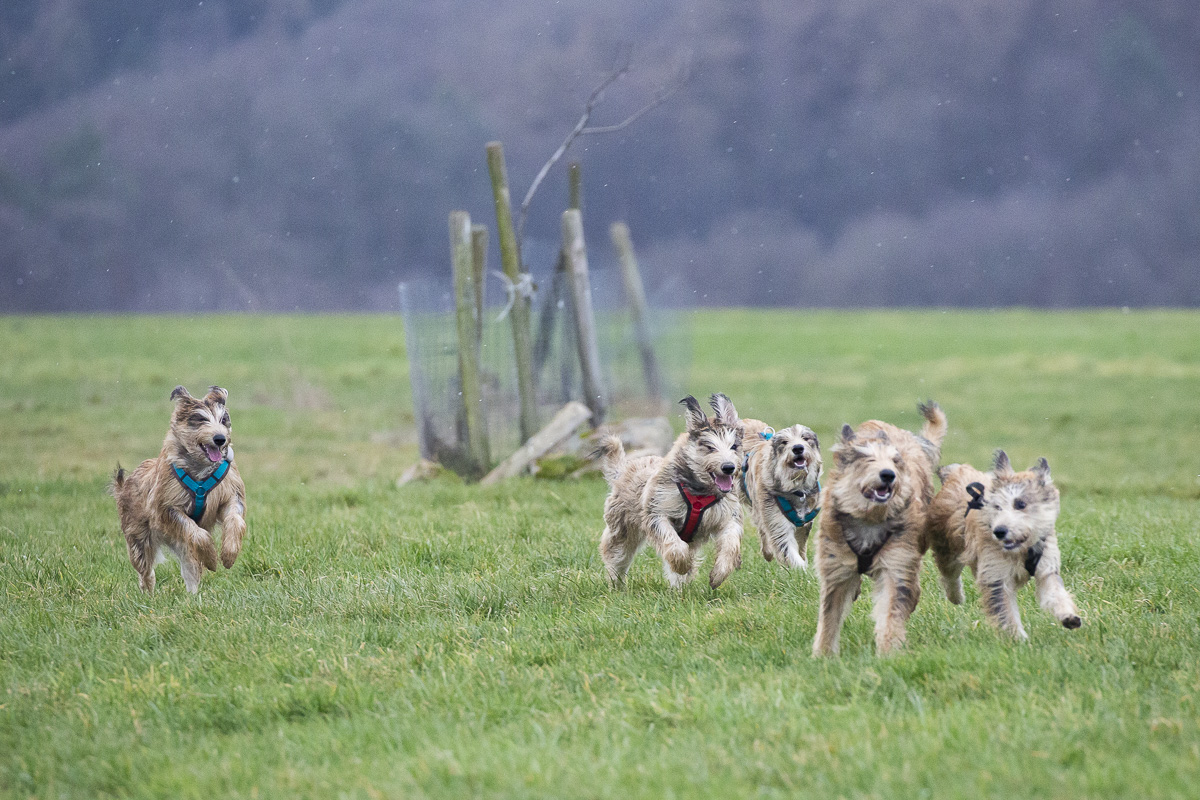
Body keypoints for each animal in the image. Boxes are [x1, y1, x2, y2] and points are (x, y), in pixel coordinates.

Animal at [110, 383, 246, 592]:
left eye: (223, 419)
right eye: (200, 419)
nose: (220, 438)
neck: (200, 470)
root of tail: (123, 485)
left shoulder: (230, 493)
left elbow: (234, 519)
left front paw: (229, 555)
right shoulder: (167, 506)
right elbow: (196, 532)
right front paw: (212, 558)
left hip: (179, 543)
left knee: (190, 566)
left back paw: (193, 595)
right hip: (137, 535)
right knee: (145, 568)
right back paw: (148, 593)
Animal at [595, 393, 744, 587]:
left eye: (734, 446)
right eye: (710, 447)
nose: (728, 467)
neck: (699, 492)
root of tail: (624, 470)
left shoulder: (727, 515)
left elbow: (730, 541)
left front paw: (719, 573)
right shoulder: (657, 510)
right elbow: (673, 542)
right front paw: (682, 563)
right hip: (621, 529)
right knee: (616, 557)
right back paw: (616, 585)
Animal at [739, 419, 825, 568]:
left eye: (805, 438)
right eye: (784, 442)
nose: (798, 448)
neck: (796, 488)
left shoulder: (805, 522)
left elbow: (800, 546)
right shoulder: (775, 518)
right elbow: (787, 548)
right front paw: (803, 570)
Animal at [811, 400, 950, 657]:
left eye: (895, 461)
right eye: (865, 458)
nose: (888, 474)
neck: (869, 519)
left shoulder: (897, 560)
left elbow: (892, 610)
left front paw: (889, 654)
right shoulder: (834, 564)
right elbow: (829, 614)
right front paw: (822, 656)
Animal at [921, 448, 1084, 642]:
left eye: (1021, 504)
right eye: (997, 506)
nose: (999, 531)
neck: (1021, 550)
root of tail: (955, 473)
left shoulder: (1046, 567)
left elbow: (1054, 593)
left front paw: (1068, 616)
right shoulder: (995, 575)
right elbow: (1006, 611)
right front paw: (1019, 640)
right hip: (947, 546)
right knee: (949, 575)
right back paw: (956, 596)